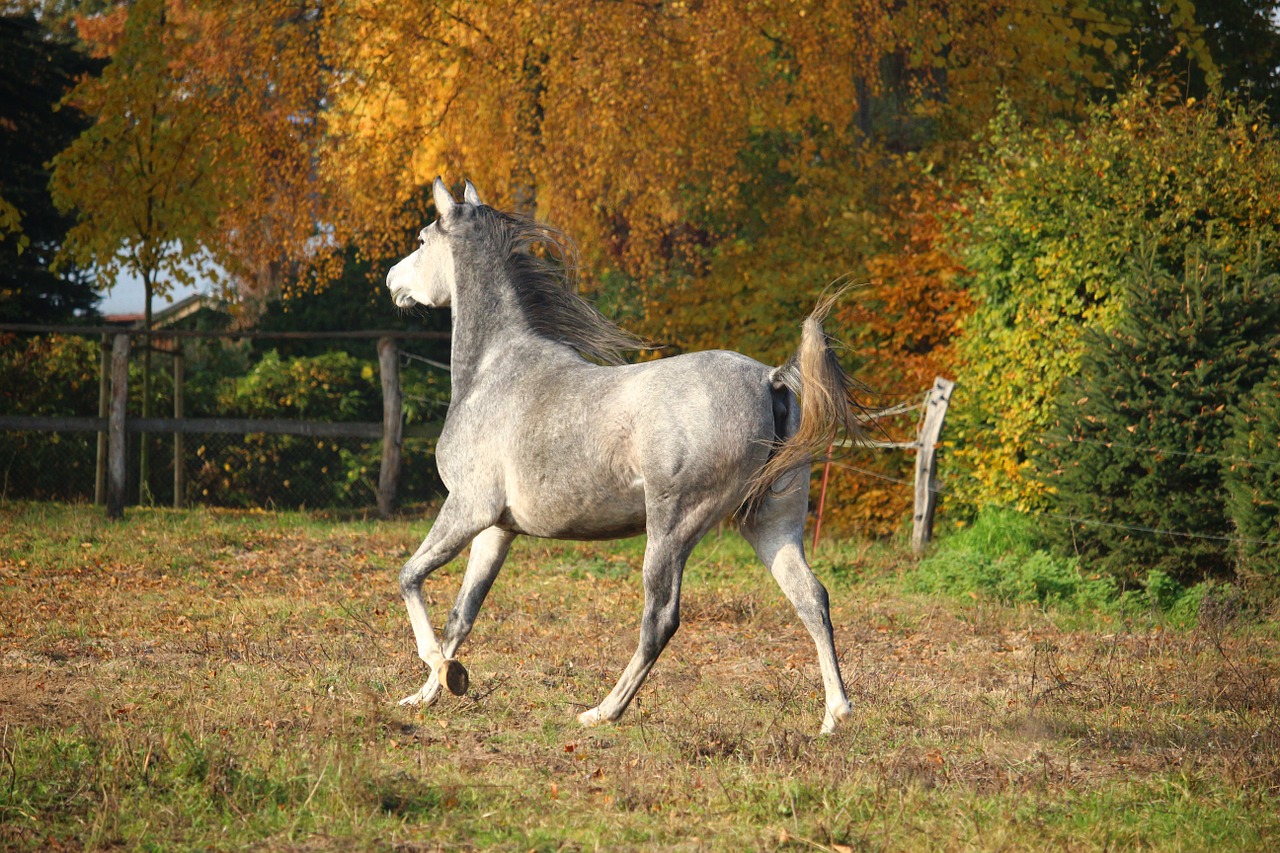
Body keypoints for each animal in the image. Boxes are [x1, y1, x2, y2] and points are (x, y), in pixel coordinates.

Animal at [384, 178, 875, 732]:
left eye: (422, 241)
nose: (391, 280)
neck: (494, 371)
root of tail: (770, 377)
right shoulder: (496, 529)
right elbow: (461, 615)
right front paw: (429, 692)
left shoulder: (467, 507)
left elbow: (410, 577)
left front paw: (440, 672)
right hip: (770, 523)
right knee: (812, 598)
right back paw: (834, 717)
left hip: (671, 527)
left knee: (660, 618)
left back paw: (602, 711)